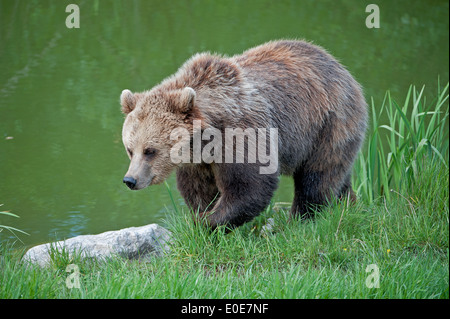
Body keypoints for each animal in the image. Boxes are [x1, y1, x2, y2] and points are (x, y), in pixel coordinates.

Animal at [121, 40, 368, 229]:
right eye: (130, 149)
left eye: (150, 150)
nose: (130, 180)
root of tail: (340, 67)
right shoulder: (198, 160)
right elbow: (199, 190)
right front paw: (201, 214)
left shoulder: (243, 134)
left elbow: (249, 187)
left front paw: (207, 222)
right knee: (338, 176)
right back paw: (348, 204)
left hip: (328, 124)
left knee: (316, 178)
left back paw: (301, 220)